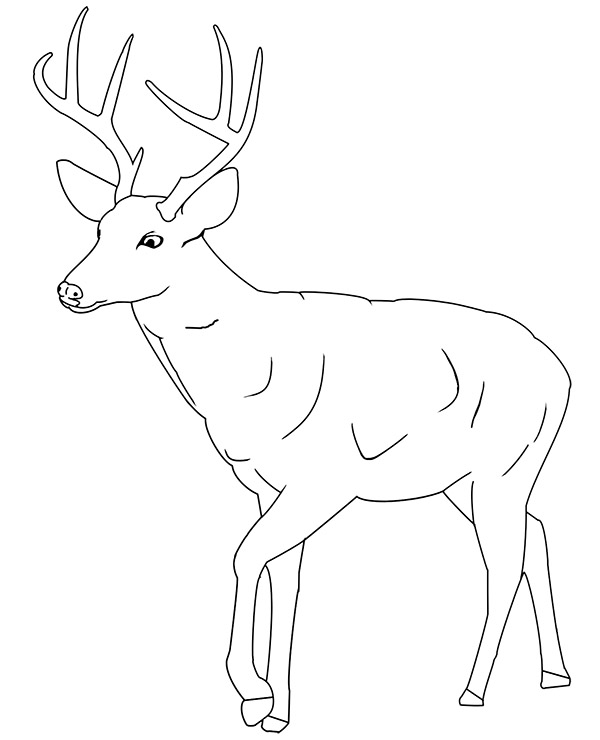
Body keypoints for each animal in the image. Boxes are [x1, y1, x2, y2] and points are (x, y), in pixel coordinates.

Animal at [34, 8, 572, 733]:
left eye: (153, 239)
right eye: (98, 227)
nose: (71, 290)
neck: (247, 375)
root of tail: (562, 370)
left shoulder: (326, 478)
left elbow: (245, 556)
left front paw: (252, 691)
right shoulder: (267, 484)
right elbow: (284, 576)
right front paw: (276, 710)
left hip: (504, 464)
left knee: (505, 556)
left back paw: (472, 689)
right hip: (463, 479)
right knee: (535, 537)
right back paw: (554, 673)